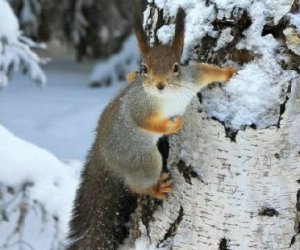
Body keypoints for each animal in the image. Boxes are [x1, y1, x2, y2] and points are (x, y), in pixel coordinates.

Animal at [65, 7, 237, 250]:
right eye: (144, 68)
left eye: (176, 67)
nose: (160, 85)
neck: (168, 96)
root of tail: (102, 153)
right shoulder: (138, 108)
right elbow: (146, 123)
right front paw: (173, 124)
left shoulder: (191, 78)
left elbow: (206, 72)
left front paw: (228, 72)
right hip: (144, 160)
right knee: (137, 185)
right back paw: (154, 188)